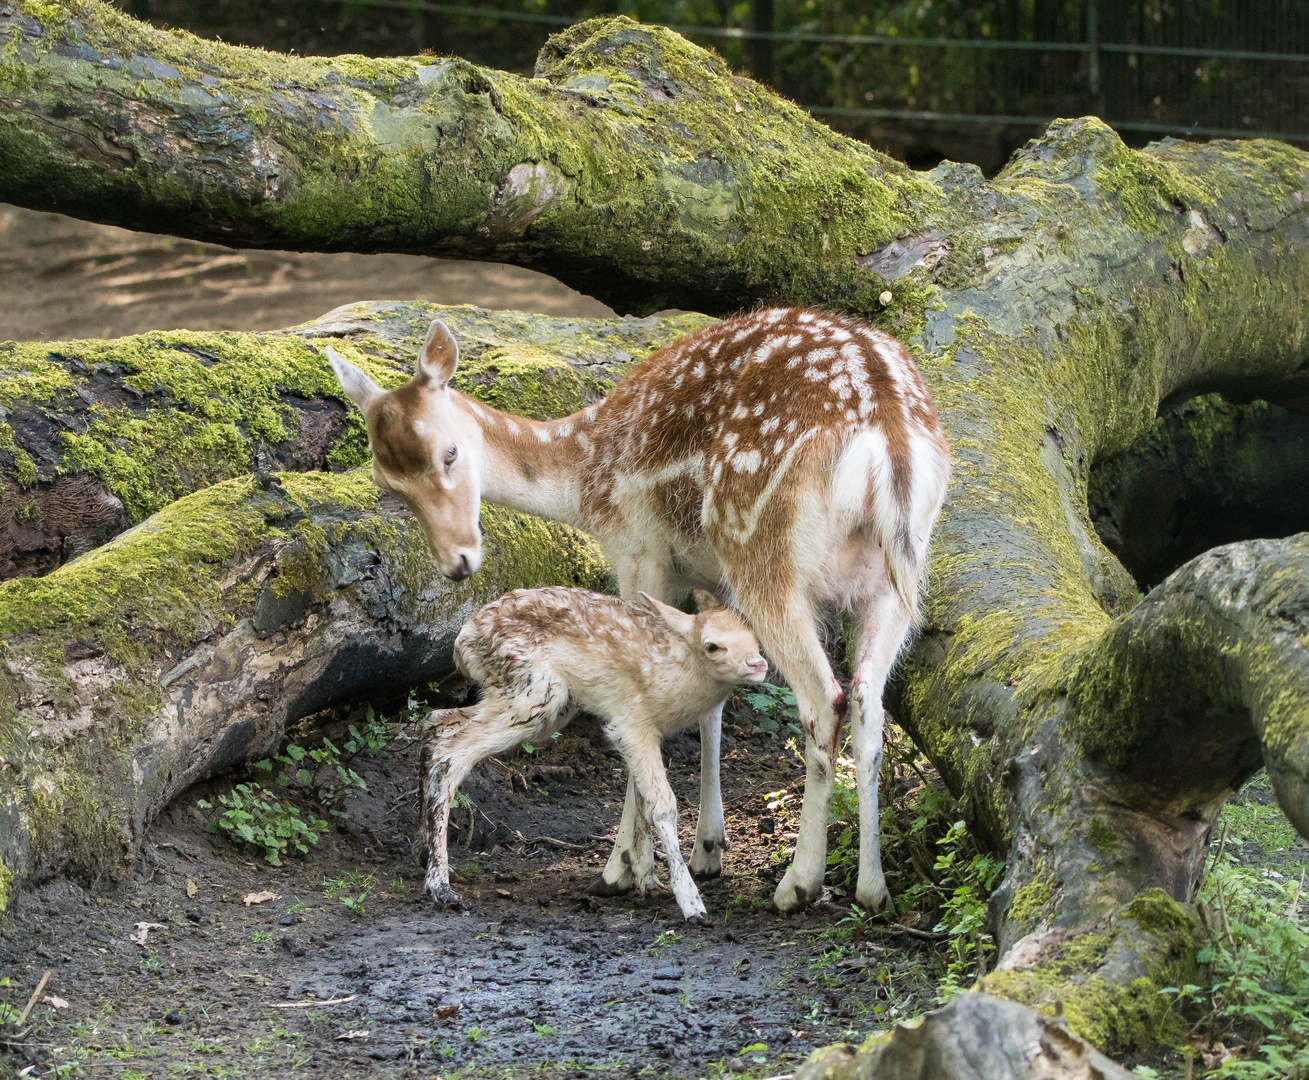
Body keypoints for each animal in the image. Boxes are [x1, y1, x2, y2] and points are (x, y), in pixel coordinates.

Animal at [418, 586, 764, 916]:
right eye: (713, 645)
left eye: (755, 637)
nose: (758, 663)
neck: (676, 676)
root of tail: (461, 645)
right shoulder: (631, 722)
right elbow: (663, 805)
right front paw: (691, 903)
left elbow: (642, 799)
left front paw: (646, 880)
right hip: (534, 692)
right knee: (451, 752)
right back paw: (441, 887)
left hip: (526, 698)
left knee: (435, 722)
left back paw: (426, 855)